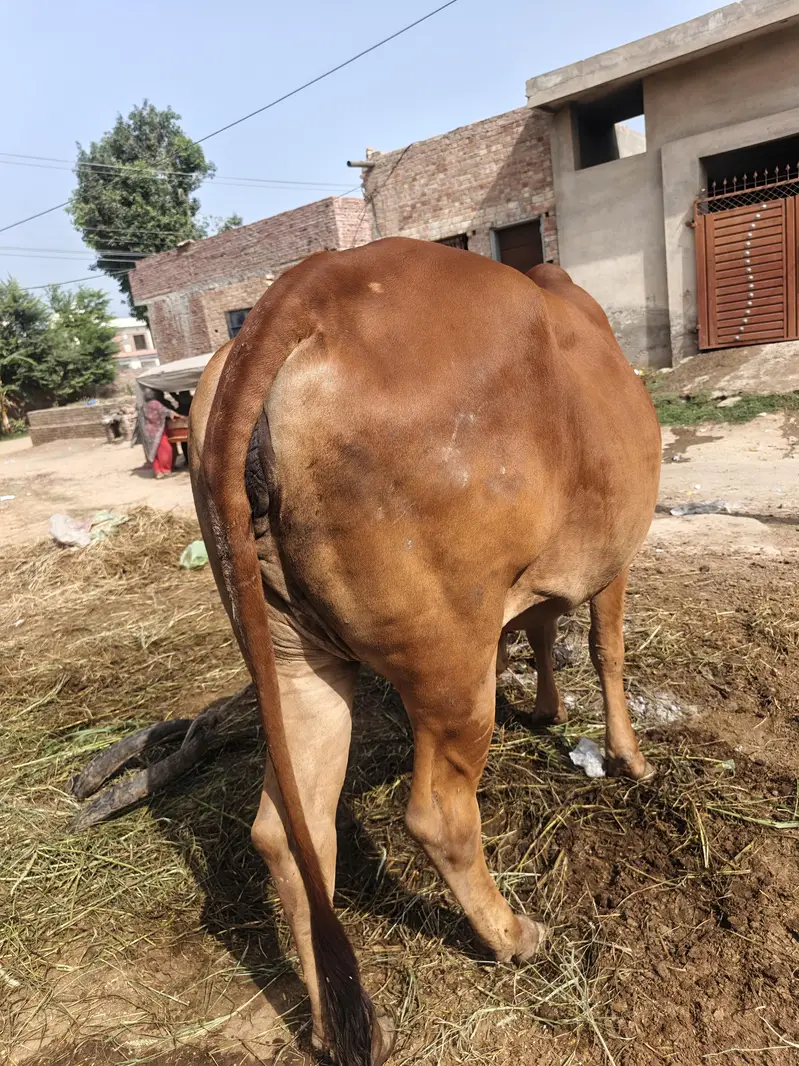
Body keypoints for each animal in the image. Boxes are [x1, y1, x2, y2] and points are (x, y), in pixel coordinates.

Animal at [188, 237, 661, 1066]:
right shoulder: (612, 561)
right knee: (439, 814)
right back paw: (509, 933)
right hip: (447, 658)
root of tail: (306, 288)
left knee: (288, 833)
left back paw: (337, 1022)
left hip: (294, 659)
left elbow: (540, 631)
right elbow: (606, 650)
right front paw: (627, 758)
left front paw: (544, 705)